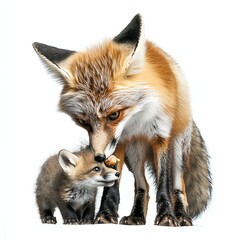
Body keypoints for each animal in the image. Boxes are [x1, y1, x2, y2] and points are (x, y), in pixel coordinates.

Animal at [32, 14, 211, 225]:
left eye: (114, 115)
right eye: (83, 121)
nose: (98, 155)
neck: (137, 120)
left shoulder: (161, 135)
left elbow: (163, 185)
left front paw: (167, 215)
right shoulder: (119, 143)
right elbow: (113, 184)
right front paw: (105, 214)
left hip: (177, 149)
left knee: (177, 185)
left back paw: (182, 216)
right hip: (134, 155)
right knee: (144, 187)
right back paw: (136, 216)